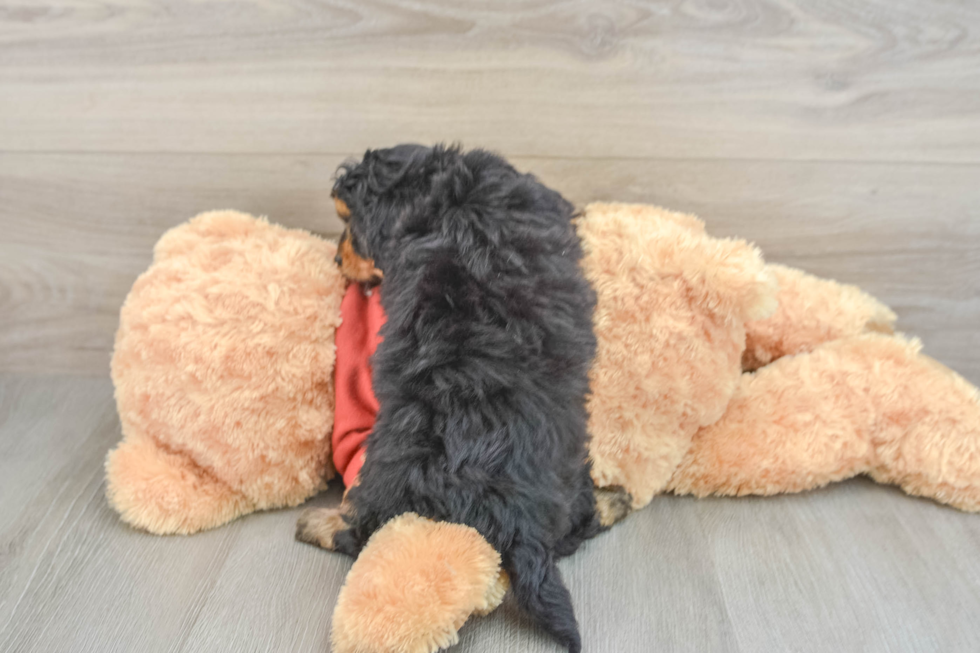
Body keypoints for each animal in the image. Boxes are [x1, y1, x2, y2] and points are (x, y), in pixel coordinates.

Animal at [298, 144, 604, 652]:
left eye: (350, 224)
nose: (338, 262)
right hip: (571, 470)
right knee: (580, 523)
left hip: (384, 474)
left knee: (360, 530)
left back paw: (318, 523)